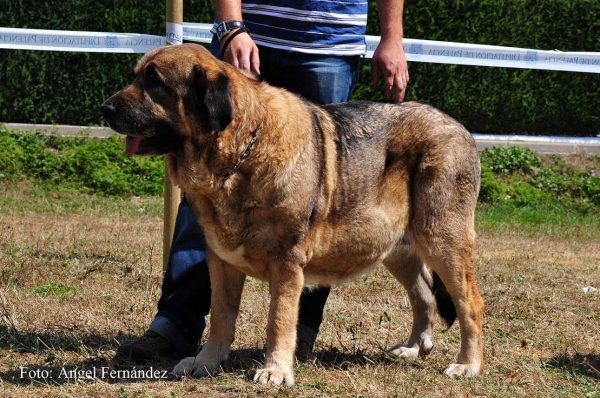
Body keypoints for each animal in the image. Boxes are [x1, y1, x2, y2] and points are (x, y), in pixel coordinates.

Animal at [103, 42, 486, 386]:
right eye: (136, 76)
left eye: (154, 81)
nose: (105, 108)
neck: (238, 156)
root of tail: (460, 128)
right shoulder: (221, 262)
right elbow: (221, 317)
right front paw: (206, 362)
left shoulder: (286, 264)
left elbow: (279, 319)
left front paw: (275, 370)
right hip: (394, 245)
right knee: (423, 295)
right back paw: (413, 348)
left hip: (442, 241)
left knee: (470, 303)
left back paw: (467, 364)